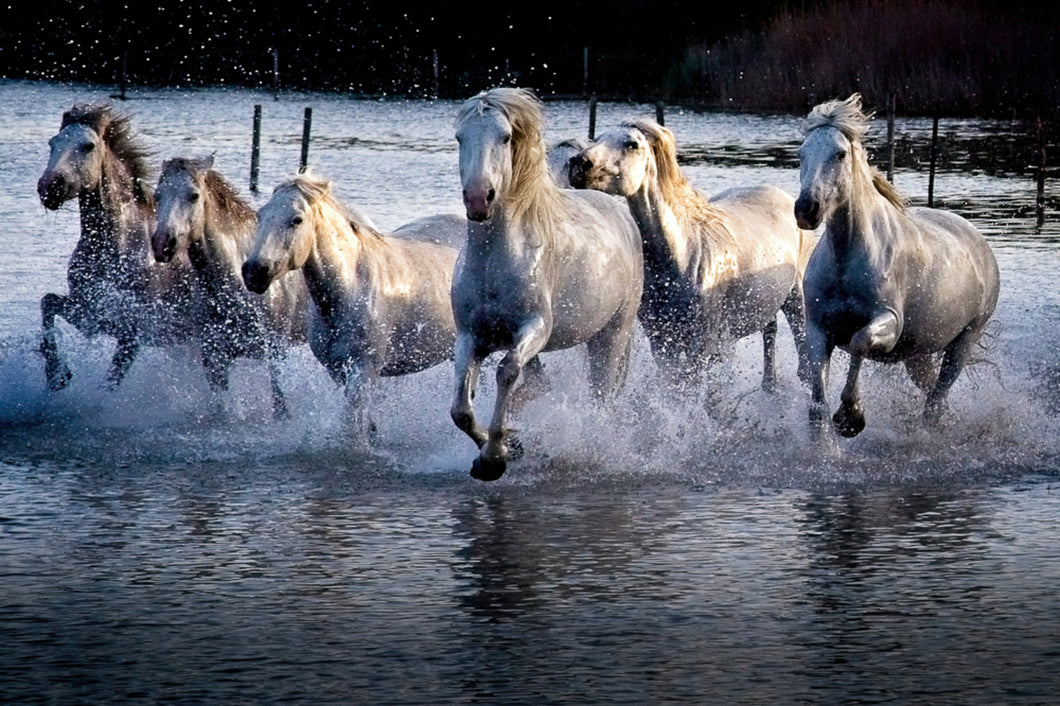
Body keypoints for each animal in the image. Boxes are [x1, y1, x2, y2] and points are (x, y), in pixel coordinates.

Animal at [242, 170, 462, 436]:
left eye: (297, 219)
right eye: (261, 214)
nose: (254, 272)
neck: (350, 289)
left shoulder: (363, 370)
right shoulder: (338, 370)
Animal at [451, 86, 640, 479]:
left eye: (505, 137)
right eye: (460, 137)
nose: (478, 199)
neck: (495, 261)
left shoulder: (535, 328)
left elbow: (507, 372)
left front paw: (495, 458)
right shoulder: (470, 336)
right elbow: (461, 407)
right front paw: (506, 449)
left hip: (612, 335)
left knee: (603, 396)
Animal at [572, 115, 809, 390]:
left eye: (632, 144)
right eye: (598, 138)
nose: (579, 165)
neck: (683, 255)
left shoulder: (702, 345)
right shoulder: (663, 343)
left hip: (796, 298)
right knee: (769, 332)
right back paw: (768, 387)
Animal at [797, 94, 996, 440]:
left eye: (840, 153)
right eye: (801, 154)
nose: (806, 209)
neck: (846, 260)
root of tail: (981, 245)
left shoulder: (889, 322)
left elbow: (860, 341)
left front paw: (851, 416)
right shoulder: (818, 328)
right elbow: (817, 397)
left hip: (964, 342)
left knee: (936, 400)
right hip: (918, 354)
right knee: (933, 395)